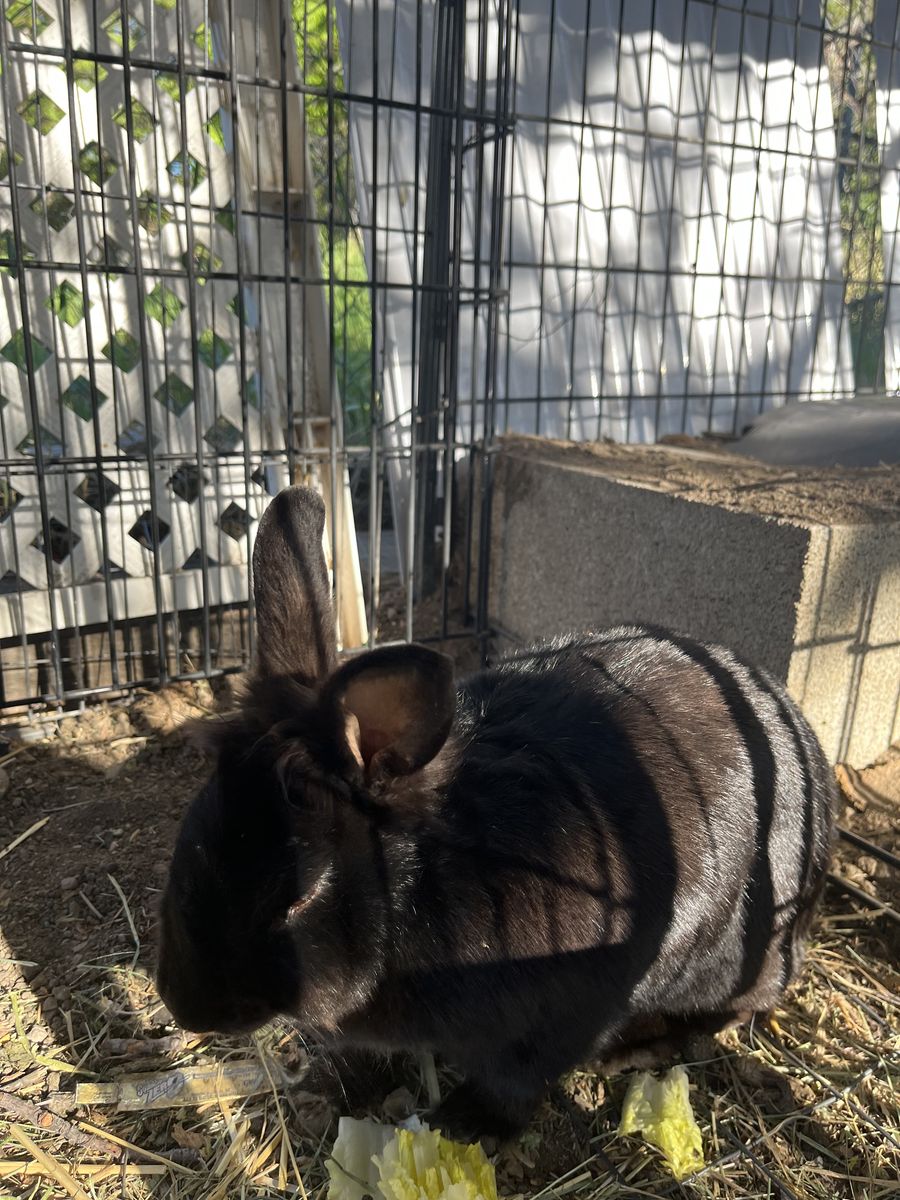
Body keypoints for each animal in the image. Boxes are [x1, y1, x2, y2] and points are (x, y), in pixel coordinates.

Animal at [156, 485, 835, 1141]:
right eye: (191, 838)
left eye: (298, 897)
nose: (183, 1004)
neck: (425, 886)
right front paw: (327, 1092)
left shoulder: (560, 1017)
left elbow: (515, 1081)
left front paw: (465, 1124)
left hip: (730, 958)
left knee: (738, 1009)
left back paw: (636, 1048)